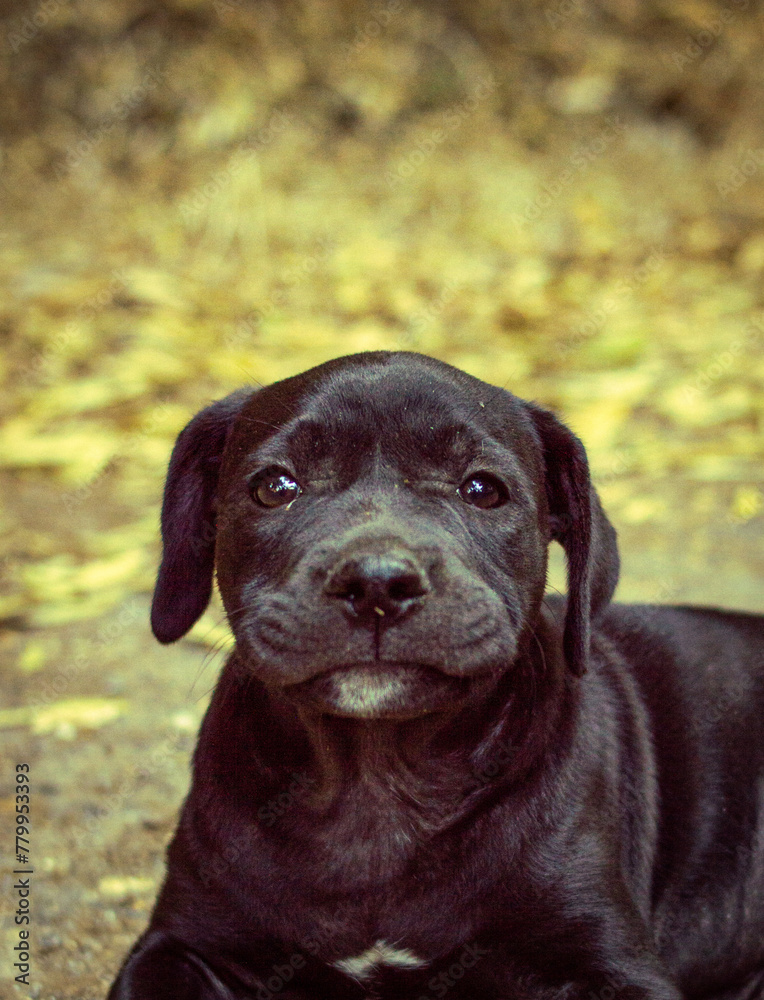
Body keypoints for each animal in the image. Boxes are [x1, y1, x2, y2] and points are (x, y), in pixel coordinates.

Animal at [107, 352, 764, 1000]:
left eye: (482, 490)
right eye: (274, 487)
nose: (376, 581)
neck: (376, 781)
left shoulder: (613, 965)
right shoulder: (180, 943)